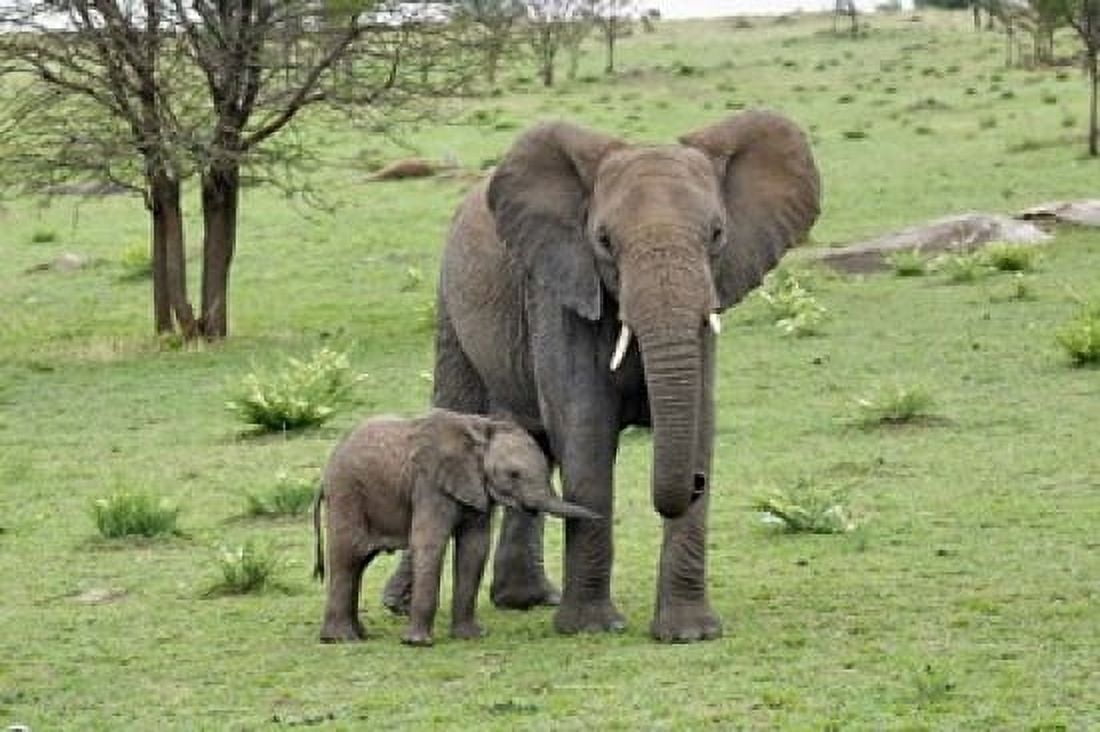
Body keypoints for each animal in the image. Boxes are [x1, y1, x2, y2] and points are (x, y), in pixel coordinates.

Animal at [312, 408, 598, 645]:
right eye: (513, 475)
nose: (598, 517)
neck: (482, 429)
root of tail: (324, 475)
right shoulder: (429, 483)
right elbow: (430, 543)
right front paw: (418, 643)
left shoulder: (476, 487)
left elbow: (475, 547)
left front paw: (471, 637)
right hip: (347, 493)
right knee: (349, 556)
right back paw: (341, 639)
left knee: (359, 562)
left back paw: (358, 634)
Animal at [383, 109, 821, 642]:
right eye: (605, 242)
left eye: (717, 235)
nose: (695, 484)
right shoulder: (562, 288)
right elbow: (585, 430)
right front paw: (592, 628)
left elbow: (699, 422)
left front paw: (690, 634)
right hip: (451, 304)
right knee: (459, 407)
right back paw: (401, 605)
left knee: (533, 442)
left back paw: (525, 600)